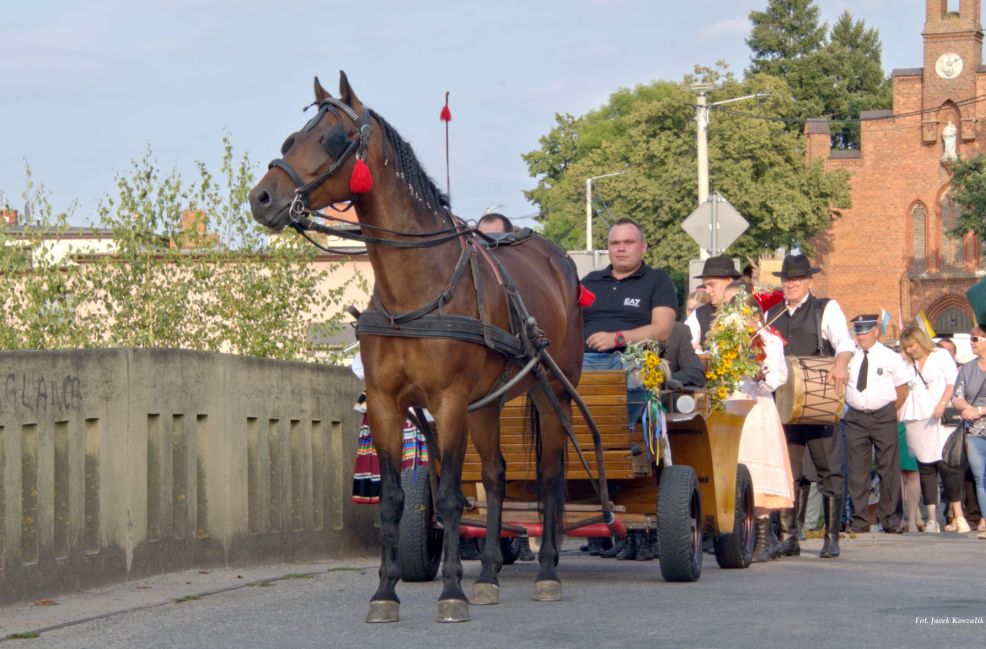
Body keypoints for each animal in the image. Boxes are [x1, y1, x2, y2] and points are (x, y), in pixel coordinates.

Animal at [252, 72, 592, 624]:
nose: (261, 197)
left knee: (549, 477)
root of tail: (557, 260)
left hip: (551, 391)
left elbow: (451, 496)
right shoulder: (388, 404)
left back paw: (546, 573)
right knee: (495, 475)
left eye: (331, 138)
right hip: (487, 402)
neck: (413, 288)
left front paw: (452, 590)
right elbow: (394, 499)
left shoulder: (448, 402)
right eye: (290, 140)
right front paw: (385, 592)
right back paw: (490, 574)